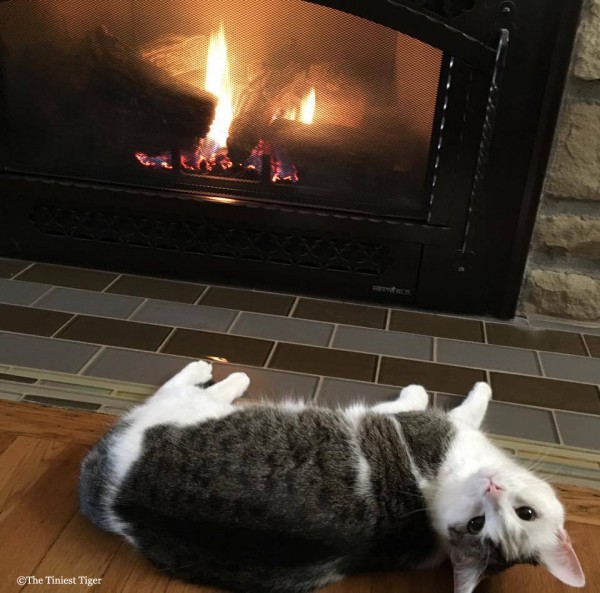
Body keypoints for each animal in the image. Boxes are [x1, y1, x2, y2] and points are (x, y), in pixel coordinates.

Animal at [77, 358, 584, 592]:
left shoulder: (419, 423)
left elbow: (448, 405)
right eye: (526, 512)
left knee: (178, 390)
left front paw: (450, 388)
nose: (492, 488)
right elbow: (451, 405)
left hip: (177, 413)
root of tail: (108, 497)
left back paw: (223, 374)